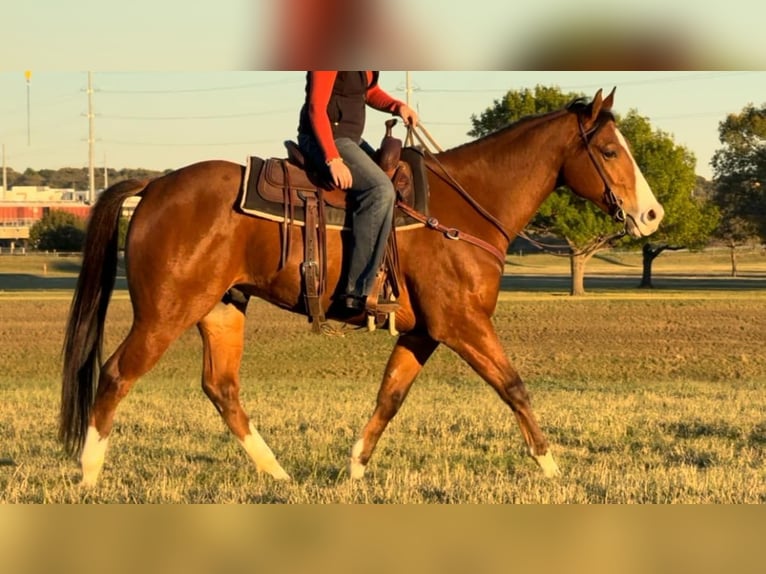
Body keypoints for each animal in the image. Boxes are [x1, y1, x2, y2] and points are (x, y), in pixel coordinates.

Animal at [60, 88, 664, 486]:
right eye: (609, 151)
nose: (652, 215)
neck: (463, 207)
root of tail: (156, 184)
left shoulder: (423, 333)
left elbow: (389, 396)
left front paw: (353, 468)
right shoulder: (463, 324)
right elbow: (513, 386)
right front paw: (552, 467)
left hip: (222, 309)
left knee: (222, 390)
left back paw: (278, 474)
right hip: (165, 313)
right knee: (116, 374)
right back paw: (89, 474)